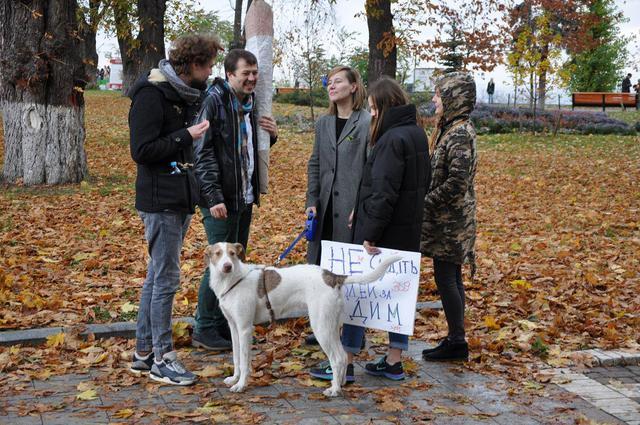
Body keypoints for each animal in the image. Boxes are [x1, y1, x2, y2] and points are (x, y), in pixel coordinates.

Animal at [205, 242, 400, 398]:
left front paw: (241, 385)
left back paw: (334, 390)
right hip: (330, 327)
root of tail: (332, 276)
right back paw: (341, 383)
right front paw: (234, 379)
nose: (227, 266)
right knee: (344, 356)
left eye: (232, 254)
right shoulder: (234, 328)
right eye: (217, 254)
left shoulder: (245, 329)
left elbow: (245, 361)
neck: (233, 279)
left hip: (321, 328)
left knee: (337, 358)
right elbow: (236, 358)